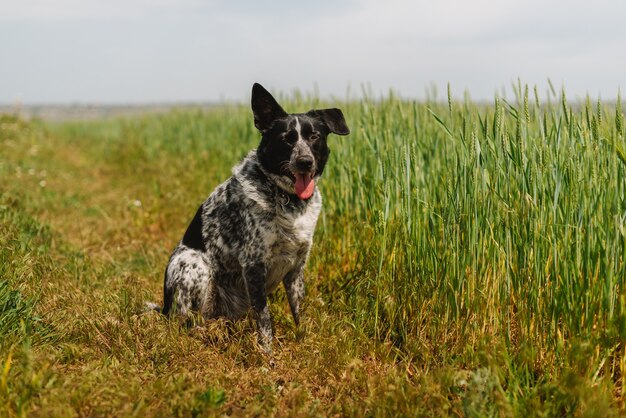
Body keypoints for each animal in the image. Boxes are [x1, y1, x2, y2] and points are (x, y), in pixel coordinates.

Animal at [161, 83, 348, 352]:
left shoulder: (297, 266)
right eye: (286, 139)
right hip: (194, 265)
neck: (288, 200)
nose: (304, 162)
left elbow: (298, 309)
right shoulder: (253, 265)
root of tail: (163, 309)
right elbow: (264, 319)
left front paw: (304, 342)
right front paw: (267, 355)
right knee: (187, 319)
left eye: (314, 136)